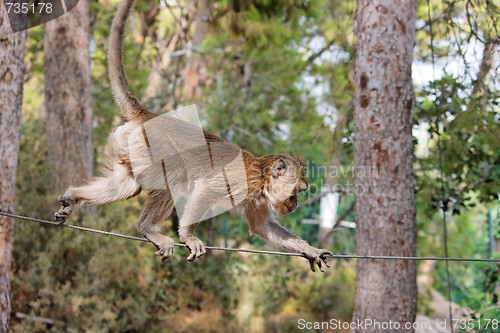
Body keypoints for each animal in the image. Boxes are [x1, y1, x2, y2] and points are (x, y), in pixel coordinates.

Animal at [54, 0, 332, 272]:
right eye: (296, 191)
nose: (294, 204)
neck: (262, 177)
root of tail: (147, 115)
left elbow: (261, 226)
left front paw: (311, 250)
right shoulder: (245, 181)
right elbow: (206, 190)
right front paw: (187, 236)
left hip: (128, 145)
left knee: (128, 186)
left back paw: (74, 196)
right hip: (149, 143)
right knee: (172, 173)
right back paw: (148, 228)